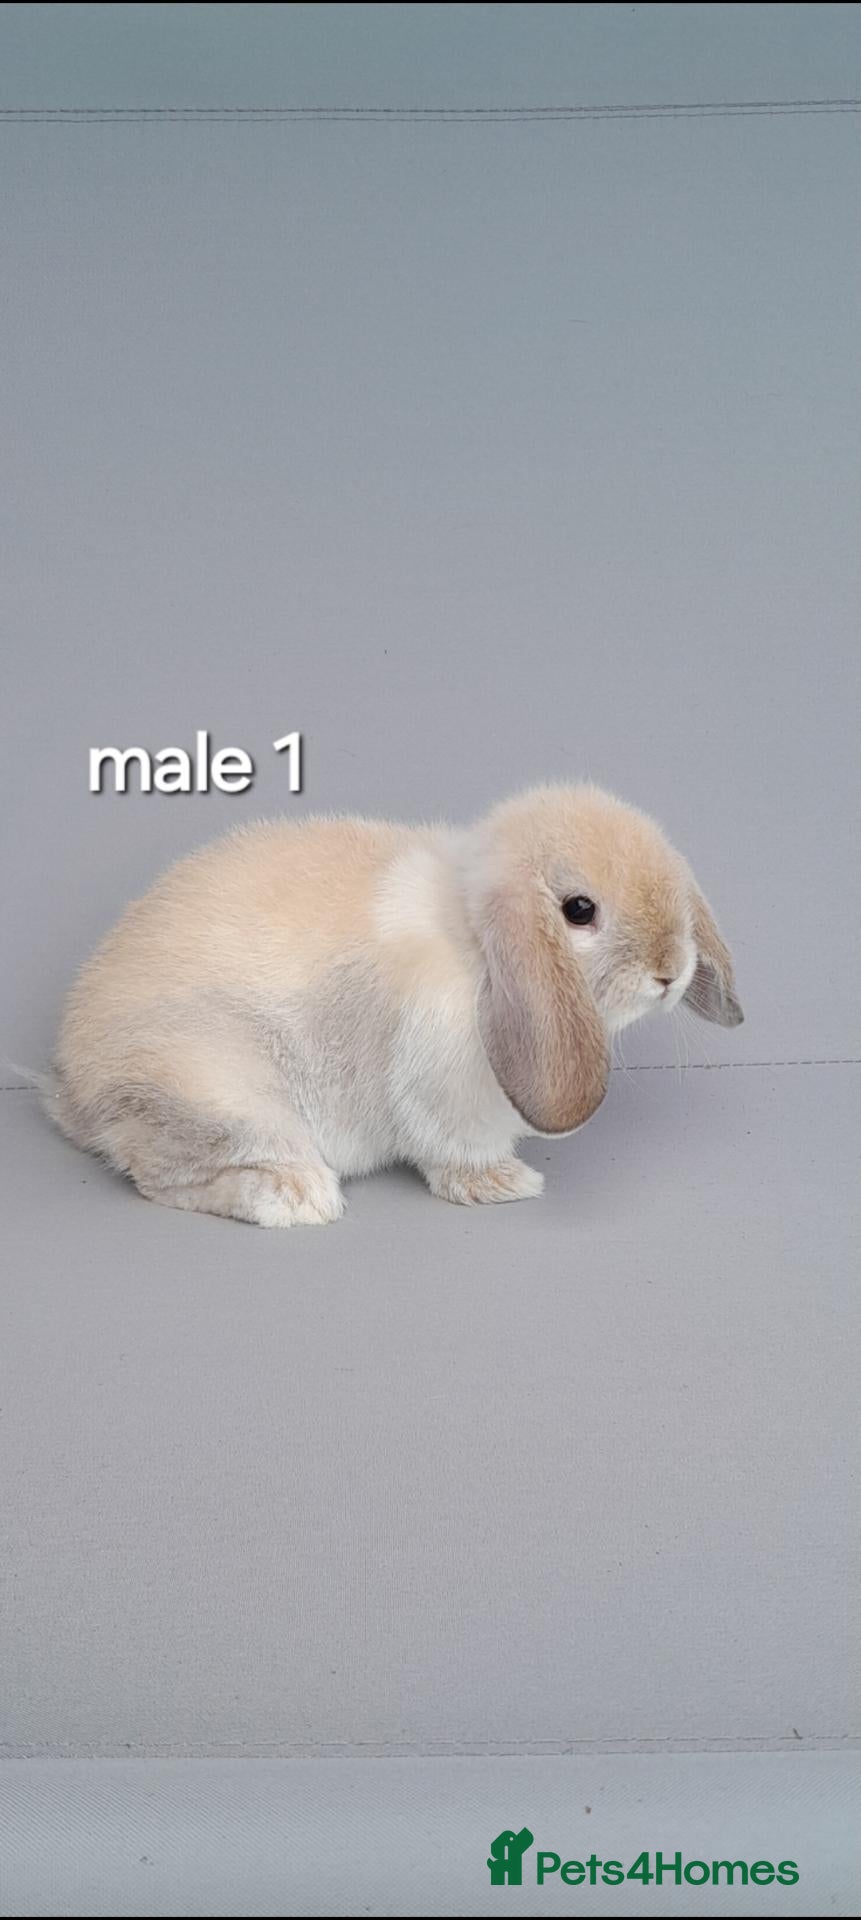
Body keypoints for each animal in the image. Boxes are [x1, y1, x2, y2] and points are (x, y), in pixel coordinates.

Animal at [47, 785, 743, 1227]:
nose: (669, 972)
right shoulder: (444, 1086)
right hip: (225, 1097)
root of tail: (75, 1090)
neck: (473, 938)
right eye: (578, 910)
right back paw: (295, 1199)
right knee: (162, 1173)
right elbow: (454, 1149)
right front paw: (505, 1185)